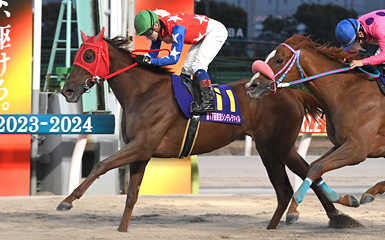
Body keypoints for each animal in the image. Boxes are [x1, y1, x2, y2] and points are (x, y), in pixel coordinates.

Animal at [56, 29, 354, 232]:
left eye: (89, 55)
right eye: (78, 54)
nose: (67, 90)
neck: (143, 92)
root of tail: (291, 92)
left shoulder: (142, 146)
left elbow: (101, 165)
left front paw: (67, 201)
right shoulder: (140, 153)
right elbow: (131, 195)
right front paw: (121, 229)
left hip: (271, 149)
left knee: (286, 189)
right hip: (282, 148)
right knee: (308, 173)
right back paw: (337, 217)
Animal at [244, 33, 384, 212]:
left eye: (279, 60)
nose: (251, 86)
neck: (347, 92)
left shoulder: (357, 149)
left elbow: (317, 167)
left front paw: (293, 209)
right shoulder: (340, 144)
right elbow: (314, 166)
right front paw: (344, 198)